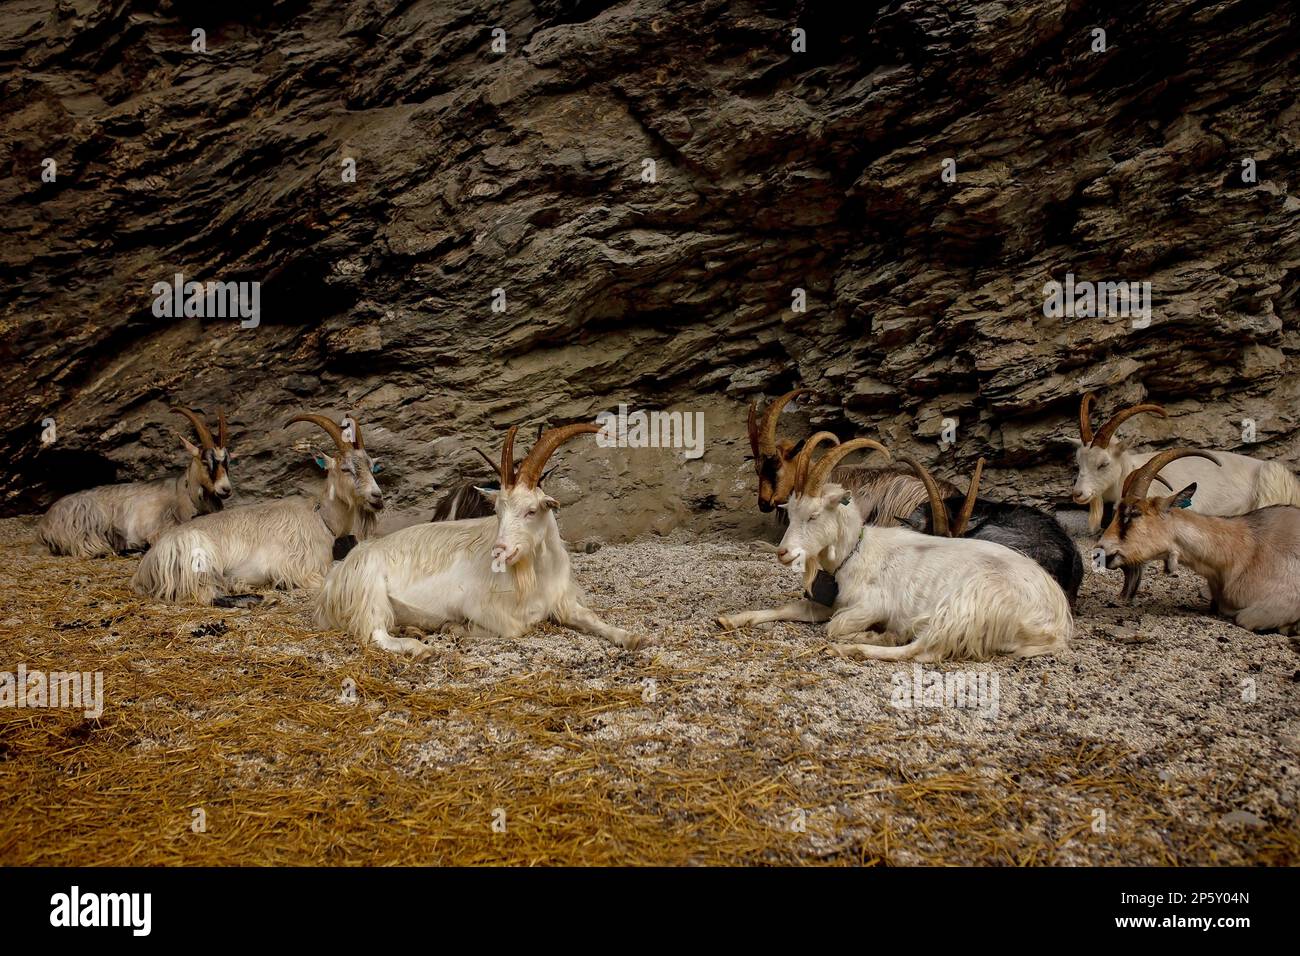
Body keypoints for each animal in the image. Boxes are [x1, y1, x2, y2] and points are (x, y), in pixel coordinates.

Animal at [36, 405, 232, 556]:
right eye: (206, 462)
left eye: (227, 461)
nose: (226, 489)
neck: (182, 493)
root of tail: (45, 524)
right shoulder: (157, 529)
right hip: (88, 520)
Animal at [133, 411, 382, 606]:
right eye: (345, 469)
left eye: (371, 467)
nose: (377, 497)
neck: (321, 518)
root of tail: (145, 568)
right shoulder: (299, 568)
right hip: (198, 560)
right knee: (205, 595)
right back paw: (262, 598)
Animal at [314, 424, 639, 658]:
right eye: (497, 511)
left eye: (531, 510)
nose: (500, 551)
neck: (537, 575)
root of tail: (336, 576)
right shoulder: (482, 608)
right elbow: (515, 629)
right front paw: (453, 627)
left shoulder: (563, 601)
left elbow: (590, 617)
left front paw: (632, 638)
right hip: (371, 593)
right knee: (375, 633)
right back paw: (421, 648)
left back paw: (414, 632)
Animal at [717, 437, 1071, 660]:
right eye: (790, 513)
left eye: (814, 515)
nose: (784, 553)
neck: (855, 554)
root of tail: (1058, 621)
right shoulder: (827, 603)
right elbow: (789, 608)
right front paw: (731, 619)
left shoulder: (872, 605)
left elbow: (835, 626)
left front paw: (868, 633)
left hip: (969, 604)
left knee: (925, 651)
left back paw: (862, 645)